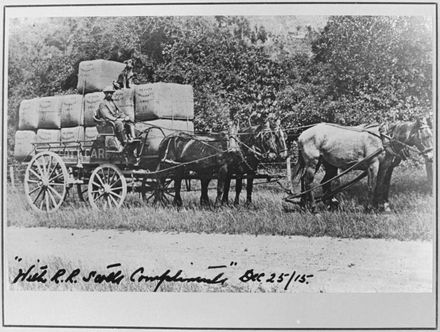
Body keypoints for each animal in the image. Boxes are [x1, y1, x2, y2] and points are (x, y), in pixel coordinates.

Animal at [290, 118, 432, 213]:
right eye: (425, 136)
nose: (430, 157)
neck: (384, 139)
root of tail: (302, 135)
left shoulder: (386, 167)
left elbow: (382, 186)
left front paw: (382, 207)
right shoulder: (373, 165)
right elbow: (371, 186)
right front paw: (370, 208)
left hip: (327, 164)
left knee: (322, 182)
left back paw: (321, 205)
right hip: (312, 162)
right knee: (308, 182)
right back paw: (314, 208)